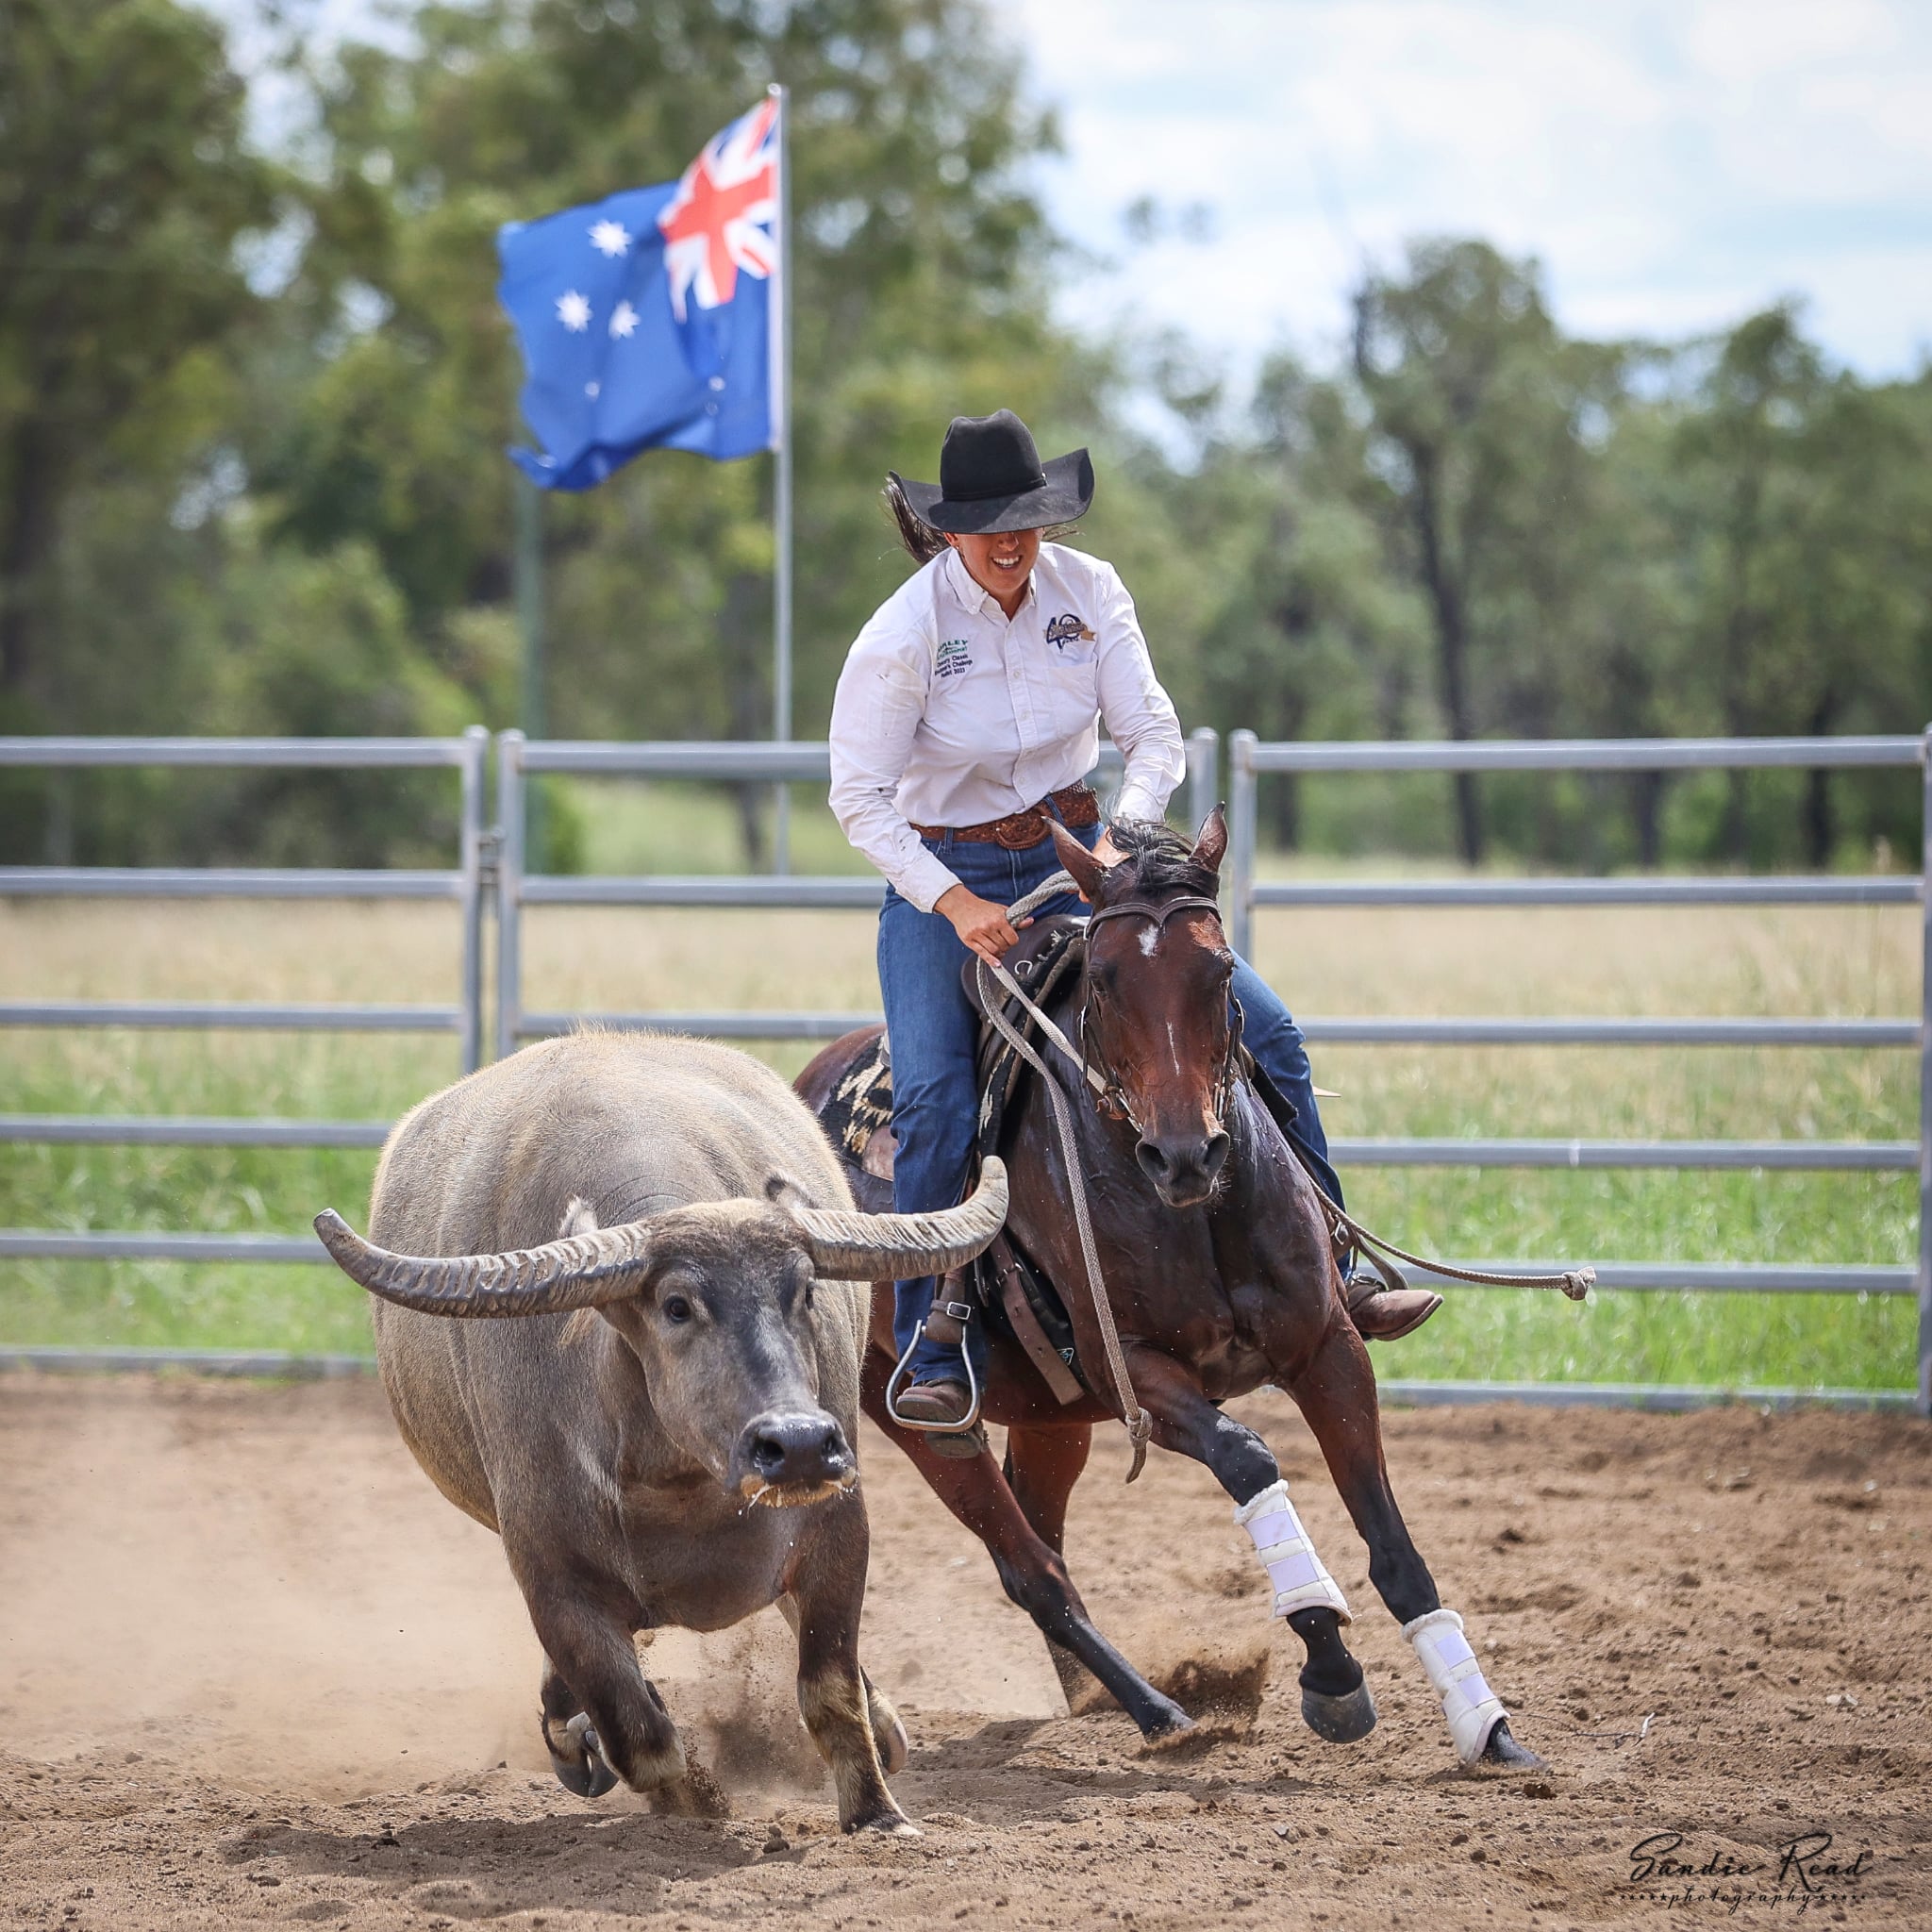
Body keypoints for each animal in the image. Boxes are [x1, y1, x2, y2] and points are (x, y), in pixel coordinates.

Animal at [313, 1030, 1008, 1834]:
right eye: (677, 1305)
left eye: (804, 1290)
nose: (800, 1443)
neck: (678, 1488)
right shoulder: (552, 1580)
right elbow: (637, 1734)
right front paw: (693, 1807)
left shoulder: (839, 1530)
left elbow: (829, 1694)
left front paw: (878, 1815)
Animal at [796, 810, 1540, 1772]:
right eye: (1107, 982)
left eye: (1219, 969)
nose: (1186, 1154)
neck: (1191, 1212)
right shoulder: (1136, 1373)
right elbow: (1250, 1459)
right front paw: (1331, 1671)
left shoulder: (1328, 1348)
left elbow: (1394, 1547)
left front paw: (1486, 1725)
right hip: (914, 1424)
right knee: (1029, 1569)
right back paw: (1157, 1710)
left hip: (1052, 1419)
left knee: (1045, 1534)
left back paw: (1095, 1698)